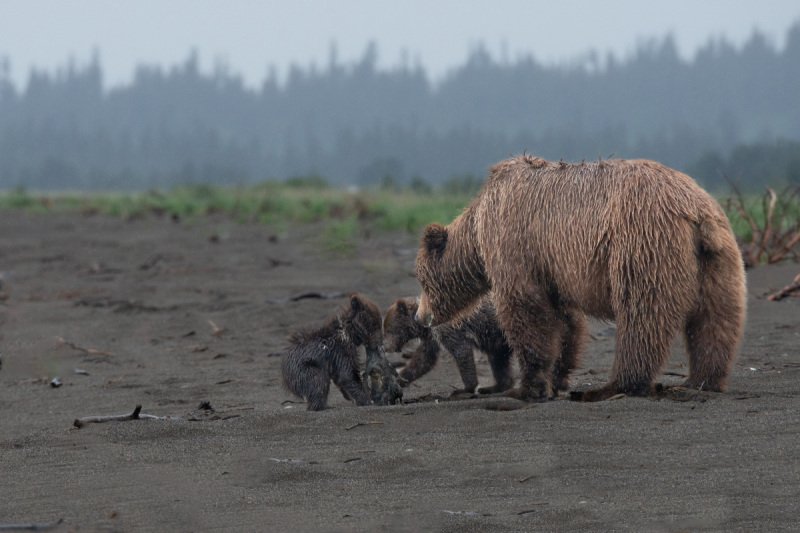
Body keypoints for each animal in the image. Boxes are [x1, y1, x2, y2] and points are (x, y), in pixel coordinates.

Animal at [416, 154, 748, 400]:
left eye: (421, 280)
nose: (420, 317)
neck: (477, 230)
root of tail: (696, 212)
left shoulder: (515, 242)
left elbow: (526, 309)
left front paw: (529, 385)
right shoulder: (553, 269)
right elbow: (567, 322)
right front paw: (557, 377)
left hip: (643, 242)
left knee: (642, 316)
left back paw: (616, 385)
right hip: (719, 259)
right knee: (716, 319)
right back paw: (703, 380)